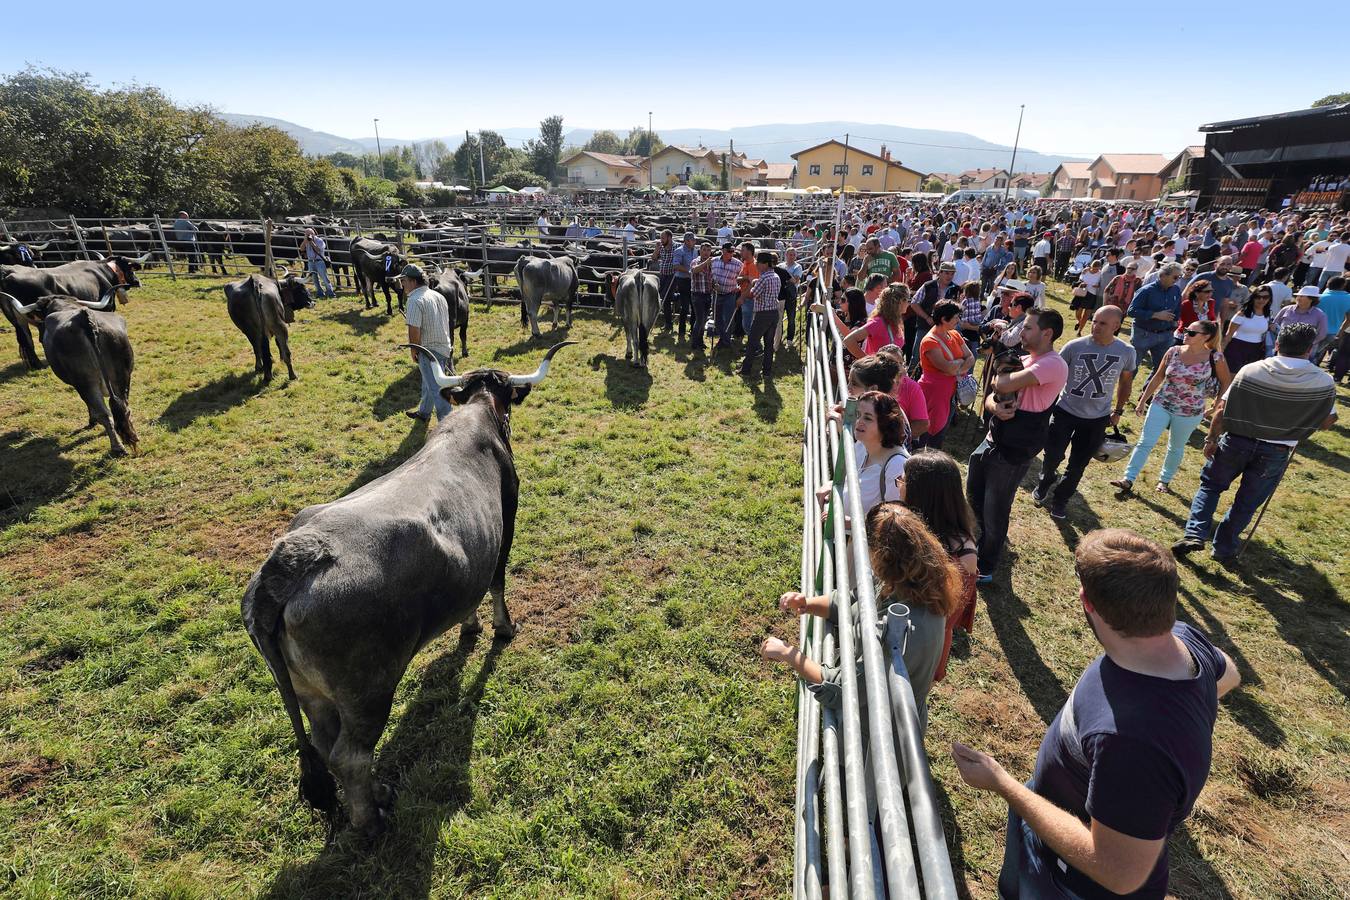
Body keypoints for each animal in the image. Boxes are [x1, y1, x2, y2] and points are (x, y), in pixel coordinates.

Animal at [0, 253, 148, 369]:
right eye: (131, 269)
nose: (138, 281)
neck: (103, 271)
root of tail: (7, 273)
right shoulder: (107, 307)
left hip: (18, 320)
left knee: (26, 339)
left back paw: (37, 365)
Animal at [240, 342, 572, 836]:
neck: (476, 416)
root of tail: (295, 557)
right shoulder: (508, 520)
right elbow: (495, 581)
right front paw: (502, 628)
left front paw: (470, 626)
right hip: (370, 691)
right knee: (350, 756)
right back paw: (371, 820)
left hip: (312, 694)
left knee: (324, 743)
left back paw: (378, 792)